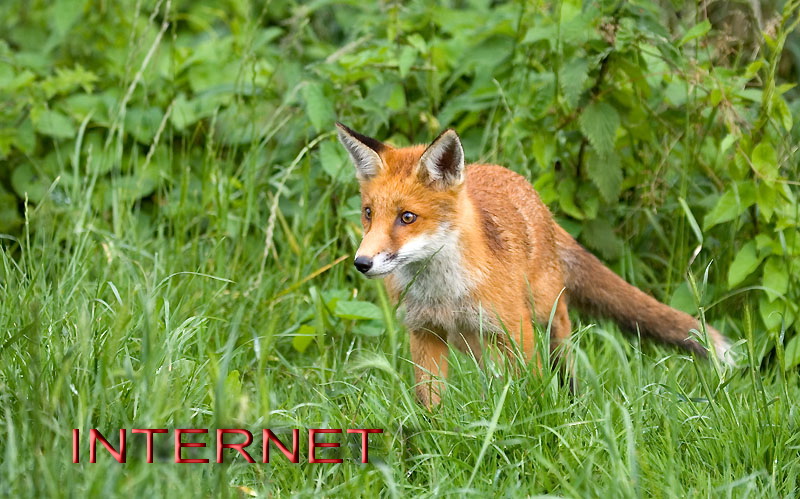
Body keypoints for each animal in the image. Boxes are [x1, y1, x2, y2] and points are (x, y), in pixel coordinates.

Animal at [336, 122, 732, 408]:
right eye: (368, 214)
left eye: (407, 217)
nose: (362, 263)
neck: (445, 295)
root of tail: (531, 192)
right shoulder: (424, 334)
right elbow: (429, 404)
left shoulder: (516, 330)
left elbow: (534, 382)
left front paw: (542, 417)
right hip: (475, 341)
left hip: (540, 308)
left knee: (562, 335)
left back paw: (570, 394)